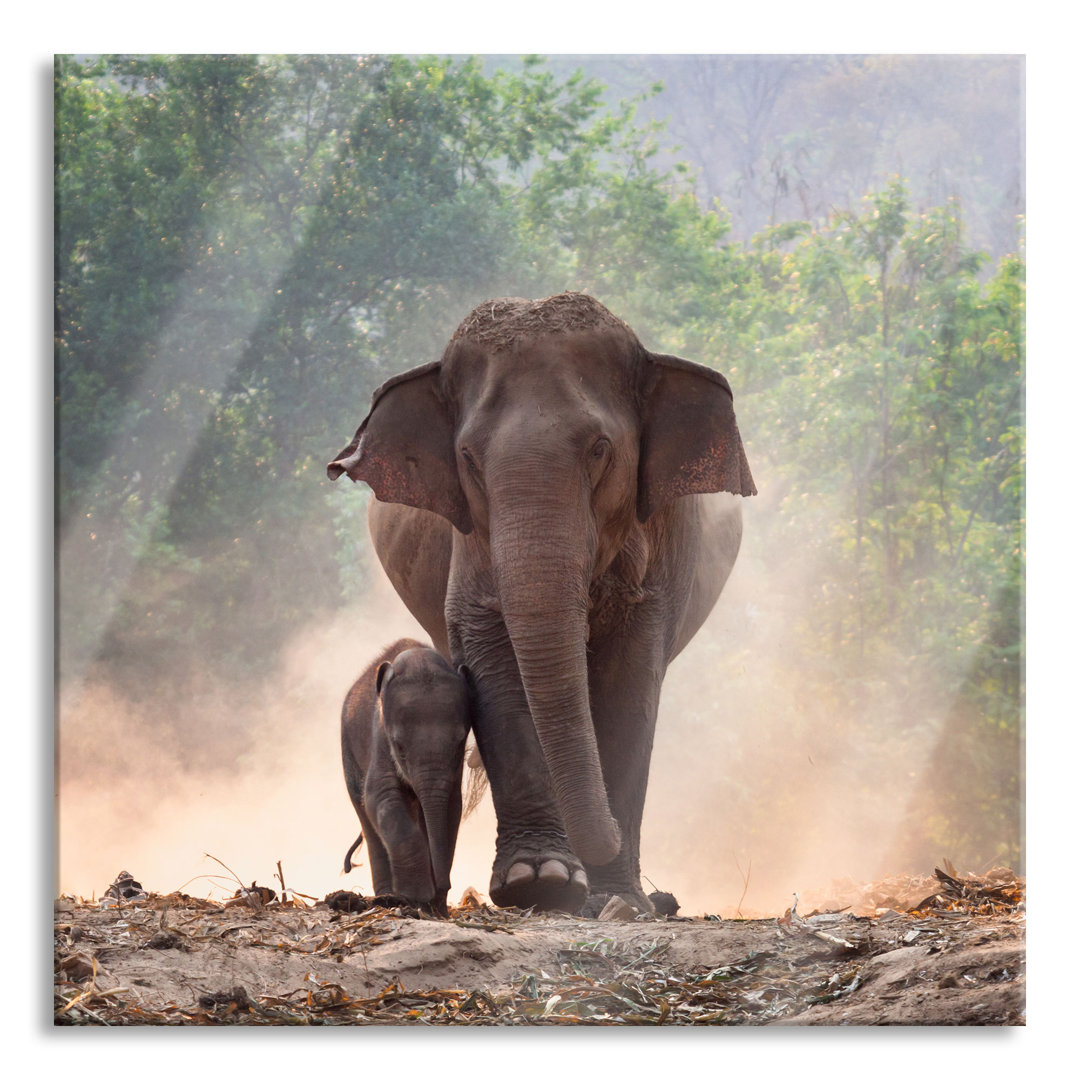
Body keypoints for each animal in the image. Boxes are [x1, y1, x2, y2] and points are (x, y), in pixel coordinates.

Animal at [339, 635, 470, 915]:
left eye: (459, 743)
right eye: (399, 746)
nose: (443, 886)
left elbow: (452, 808)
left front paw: (431, 904)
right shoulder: (379, 738)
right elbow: (380, 798)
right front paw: (416, 896)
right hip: (347, 750)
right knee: (365, 813)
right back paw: (387, 896)